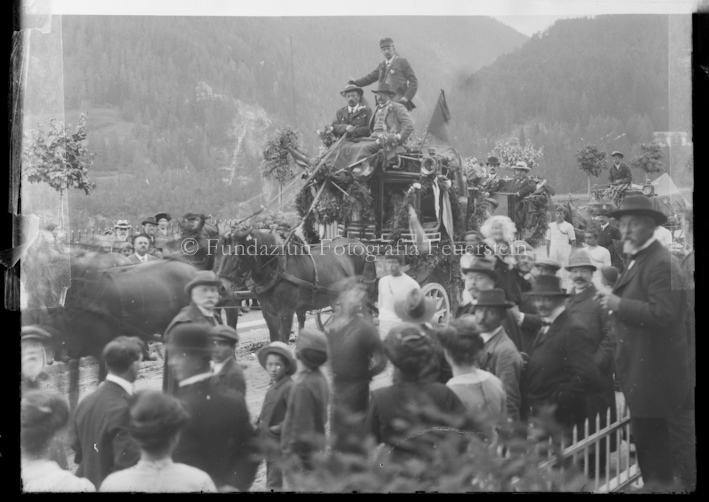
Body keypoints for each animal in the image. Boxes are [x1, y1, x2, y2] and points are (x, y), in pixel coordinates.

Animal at [217, 229, 376, 344]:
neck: (277, 271)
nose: (221, 287)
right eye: (219, 251)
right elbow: (274, 341)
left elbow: (283, 341)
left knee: (367, 315)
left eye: (236, 253)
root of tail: (360, 244)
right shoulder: (268, 313)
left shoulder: (286, 313)